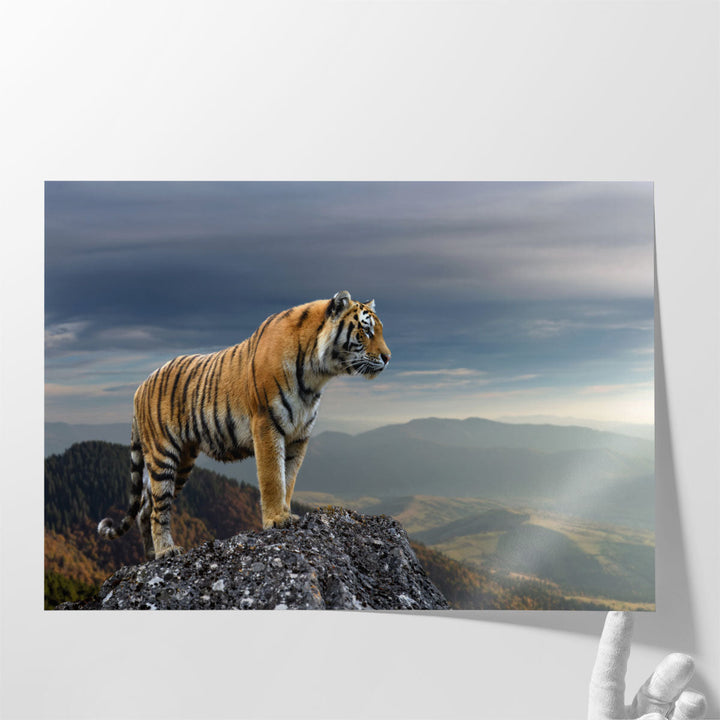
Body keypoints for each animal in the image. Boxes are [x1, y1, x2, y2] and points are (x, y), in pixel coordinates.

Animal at [97, 291, 390, 561]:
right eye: (366, 331)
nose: (388, 357)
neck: (316, 375)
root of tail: (139, 387)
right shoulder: (267, 425)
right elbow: (273, 477)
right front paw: (276, 519)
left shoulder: (299, 436)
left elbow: (289, 479)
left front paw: (286, 513)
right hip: (163, 455)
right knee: (158, 509)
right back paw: (166, 551)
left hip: (182, 462)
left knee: (145, 509)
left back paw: (150, 556)